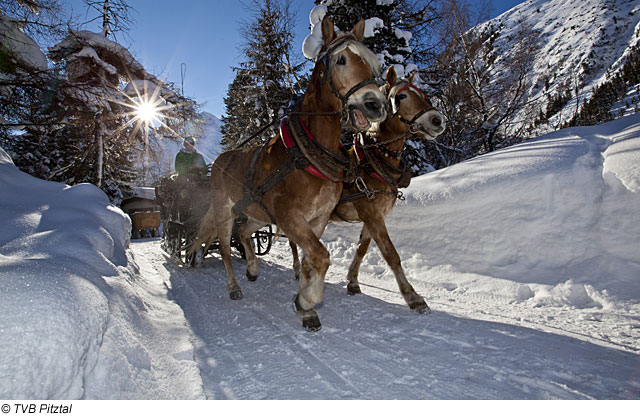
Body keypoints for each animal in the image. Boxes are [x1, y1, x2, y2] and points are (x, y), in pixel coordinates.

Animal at [190, 17, 388, 332]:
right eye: (341, 59)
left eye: (373, 62)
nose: (376, 105)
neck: (309, 152)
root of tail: (220, 159)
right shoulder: (289, 216)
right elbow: (320, 256)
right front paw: (307, 301)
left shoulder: (317, 219)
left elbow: (310, 260)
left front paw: (304, 304)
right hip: (224, 210)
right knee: (224, 246)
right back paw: (234, 286)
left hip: (257, 212)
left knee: (244, 233)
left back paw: (253, 268)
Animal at [292, 65, 444, 312]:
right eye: (401, 96)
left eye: (422, 94)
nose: (437, 120)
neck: (372, 163)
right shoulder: (373, 215)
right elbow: (391, 254)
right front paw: (412, 296)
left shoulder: (373, 216)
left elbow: (362, 249)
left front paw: (352, 281)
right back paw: (297, 270)